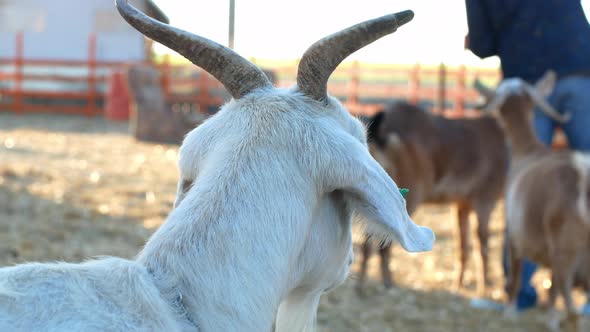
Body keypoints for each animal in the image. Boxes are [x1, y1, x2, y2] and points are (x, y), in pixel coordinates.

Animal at [358, 100, 512, 294]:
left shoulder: (461, 204)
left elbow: (462, 245)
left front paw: (458, 285)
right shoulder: (484, 200)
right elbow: (481, 245)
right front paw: (483, 289)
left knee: (367, 241)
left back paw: (362, 285)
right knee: (384, 243)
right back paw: (388, 285)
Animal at [476, 70, 590, 330]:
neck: (528, 151)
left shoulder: (514, 237)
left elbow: (516, 277)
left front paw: (510, 312)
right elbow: (552, 290)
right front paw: (550, 318)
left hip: (568, 254)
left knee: (572, 311)